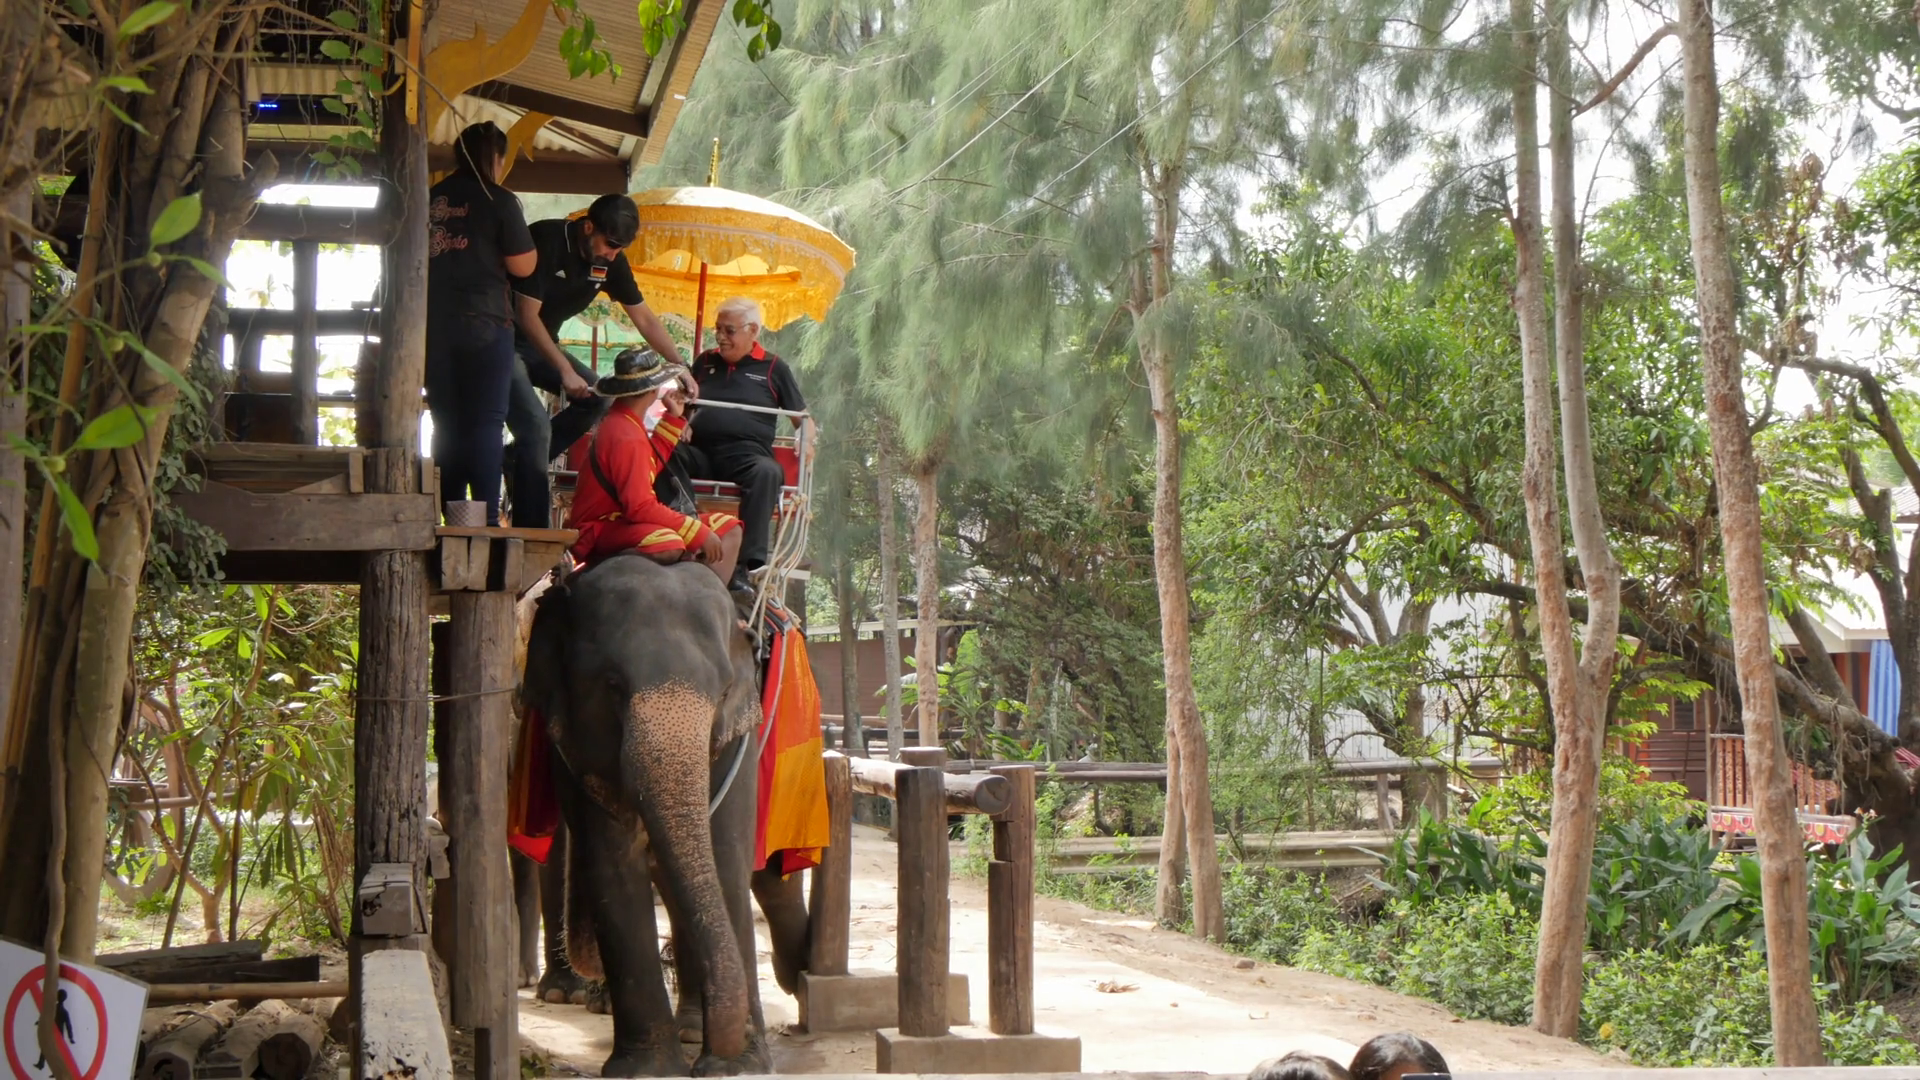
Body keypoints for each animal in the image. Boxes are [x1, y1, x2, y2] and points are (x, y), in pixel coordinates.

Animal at [520, 552, 802, 1076]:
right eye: (612, 685)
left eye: (724, 690)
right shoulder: (569, 746)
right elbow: (612, 864)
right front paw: (647, 1070)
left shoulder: (740, 735)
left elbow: (725, 858)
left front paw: (738, 1067)